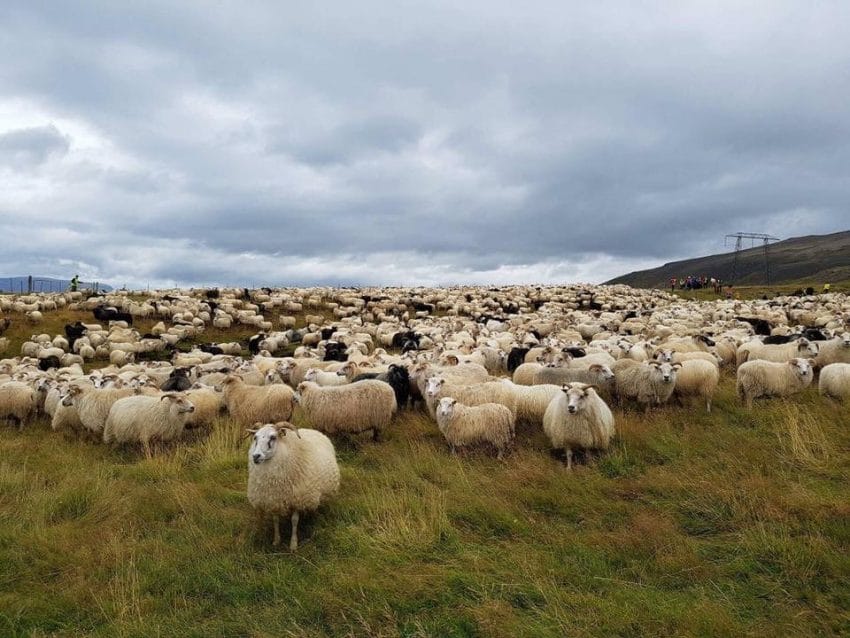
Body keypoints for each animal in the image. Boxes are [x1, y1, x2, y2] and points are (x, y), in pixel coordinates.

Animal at [245, 422, 338, 552]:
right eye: (255, 437)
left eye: (273, 437)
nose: (256, 456)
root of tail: (311, 430)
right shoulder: (274, 499)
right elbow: (275, 520)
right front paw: (276, 540)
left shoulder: (297, 499)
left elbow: (294, 521)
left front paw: (293, 545)